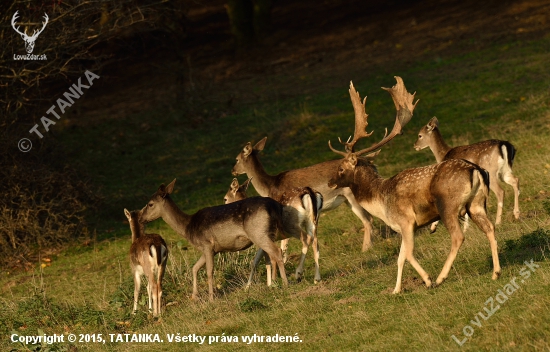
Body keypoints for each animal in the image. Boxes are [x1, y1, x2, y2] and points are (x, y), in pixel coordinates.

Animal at [140, 180, 292, 302]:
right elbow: (194, 268)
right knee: (271, 257)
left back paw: (285, 284)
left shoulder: (207, 244)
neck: (188, 228)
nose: (141, 218)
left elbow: (209, 271)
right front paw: (194, 296)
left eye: (150, 204)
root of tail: (275, 206)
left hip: (258, 233)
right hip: (267, 233)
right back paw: (273, 284)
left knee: (277, 252)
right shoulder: (211, 249)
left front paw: (211, 298)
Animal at [328, 77, 504, 294]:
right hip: (476, 203)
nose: (330, 182)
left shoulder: (407, 221)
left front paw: (427, 280)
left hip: (448, 206)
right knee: (490, 228)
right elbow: (400, 258)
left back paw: (441, 277)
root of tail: (476, 170)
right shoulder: (401, 227)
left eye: (341, 168)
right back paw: (496, 272)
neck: (381, 201)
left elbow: (408, 254)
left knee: (458, 237)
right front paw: (396, 290)